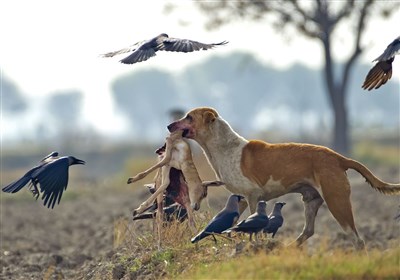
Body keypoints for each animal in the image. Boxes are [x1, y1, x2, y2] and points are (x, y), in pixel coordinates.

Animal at [166, 107, 400, 249]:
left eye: (188, 117)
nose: (169, 126)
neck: (224, 147)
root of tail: (339, 157)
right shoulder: (240, 199)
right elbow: (234, 222)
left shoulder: (253, 196)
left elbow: (254, 223)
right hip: (311, 201)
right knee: (308, 231)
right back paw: (290, 247)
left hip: (337, 201)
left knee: (357, 238)